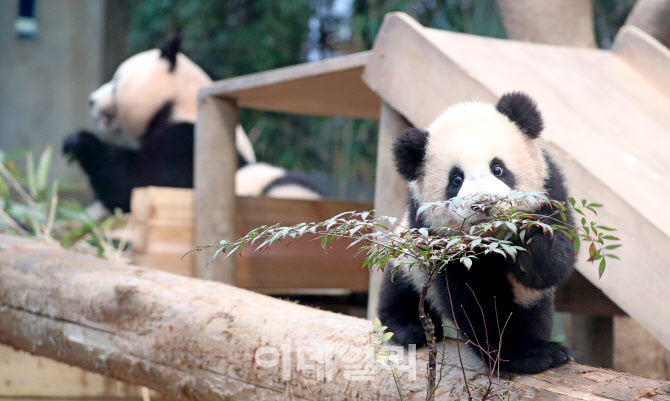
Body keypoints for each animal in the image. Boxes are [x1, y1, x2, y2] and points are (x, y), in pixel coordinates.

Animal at [65, 35, 326, 212]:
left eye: (117, 80)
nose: (91, 100)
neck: (180, 102)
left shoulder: (187, 140)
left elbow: (136, 181)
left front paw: (78, 142)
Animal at [378, 92, 576, 374]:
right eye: (456, 180)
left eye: (498, 169)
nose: (484, 203)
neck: (495, 238)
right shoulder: (431, 228)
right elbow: (475, 295)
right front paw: (525, 354)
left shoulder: (550, 189)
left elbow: (555, 262)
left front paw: (531, 245)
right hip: (408, 259)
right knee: (401, 289)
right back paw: (408, 328)